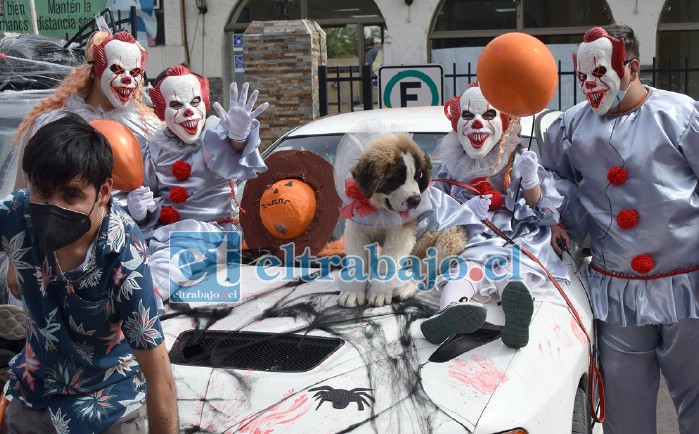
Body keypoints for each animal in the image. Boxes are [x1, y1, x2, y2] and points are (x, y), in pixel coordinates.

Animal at [338, 134, 432, 306]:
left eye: (417, 177)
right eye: (395, 179)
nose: (416, 200)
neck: (378, 209)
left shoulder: (401, 234)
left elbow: (387, 262)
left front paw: (379, 291)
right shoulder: (355, 230)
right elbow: (357, 260)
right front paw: (352, 292)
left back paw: (405, 288)